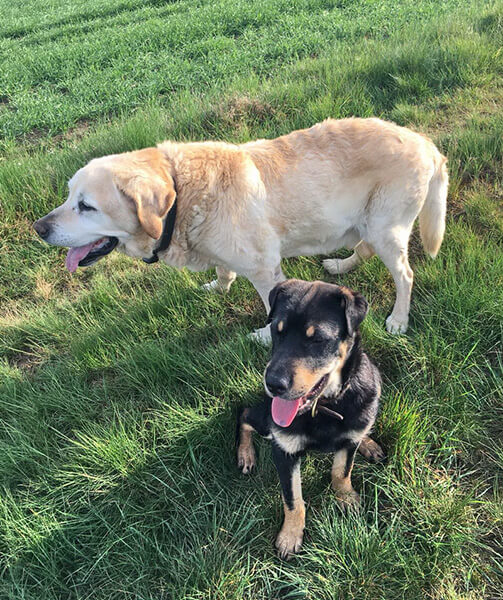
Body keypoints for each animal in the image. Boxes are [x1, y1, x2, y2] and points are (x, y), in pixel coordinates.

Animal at [33, 117, 448, 338]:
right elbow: (223, 269)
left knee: (405, 275)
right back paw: (340, 265)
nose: (39, 228)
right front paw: (219, 287)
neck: (183, 196)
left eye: (86, 206)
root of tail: (427, 144)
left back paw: (398, 319)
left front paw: (264, 336)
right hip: (367, 223)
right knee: (362, 248)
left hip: (385, 227)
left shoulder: (265, 271)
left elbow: (271, 309)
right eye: (68, 196)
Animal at [236, 279, 384, 559]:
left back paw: (369, 443)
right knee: (245, 414)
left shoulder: (348, 440)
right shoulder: (284, 450)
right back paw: (245, 454)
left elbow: (341, 472)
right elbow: (293, 498)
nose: (272, 384)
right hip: (266, 421)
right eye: (277, 331)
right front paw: (290, 536)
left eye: (316, 339)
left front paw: (347, 500)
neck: (324, 407)